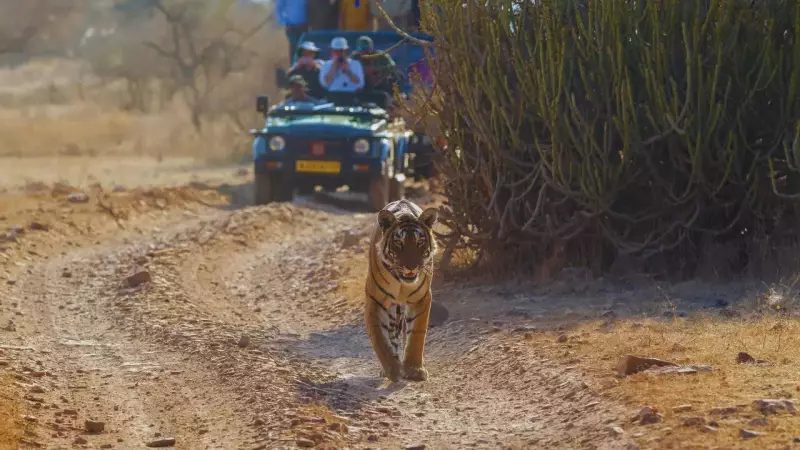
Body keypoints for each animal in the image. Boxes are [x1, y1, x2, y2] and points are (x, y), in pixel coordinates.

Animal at [364, 199, 439, 382]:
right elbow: (380, 339)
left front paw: (414, 369)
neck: (401, 283)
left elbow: (416, 337)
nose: (411, 266)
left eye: (420, 242)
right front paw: (392, 369)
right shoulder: (375, 301)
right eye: (399, 243)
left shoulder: (421, 299)